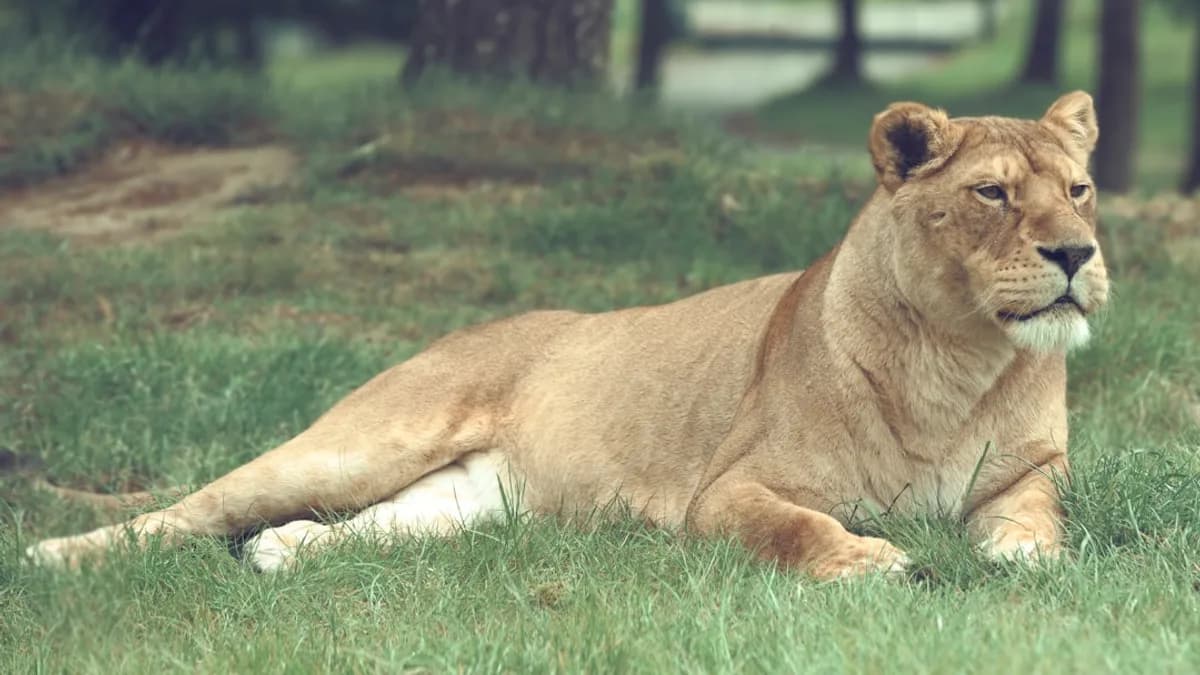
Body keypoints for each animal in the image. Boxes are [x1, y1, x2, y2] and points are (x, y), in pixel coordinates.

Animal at [25, 92, 1108, 579]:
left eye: (1079, 187)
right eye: (993, 193)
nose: (1075, 253)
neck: (961, 357)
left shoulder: (1027, 475)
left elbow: (1034, 525)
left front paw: (1028, 567)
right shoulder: (728, 492)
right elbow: (793, 526)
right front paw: (873, 562)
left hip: (463, 504)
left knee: (349, 528)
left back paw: (282, 553)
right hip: (358, 442)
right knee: (191, 510)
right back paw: (53, 555)